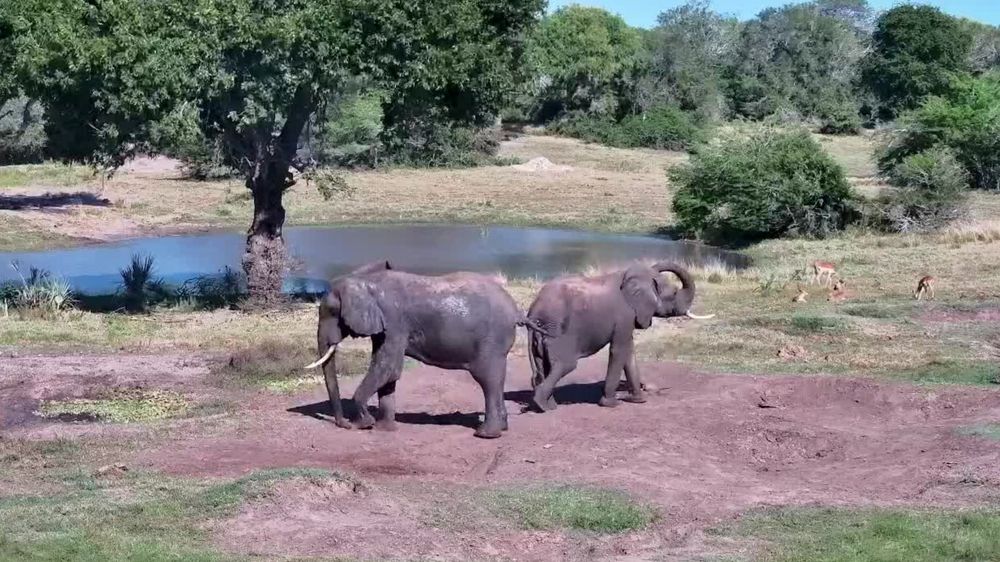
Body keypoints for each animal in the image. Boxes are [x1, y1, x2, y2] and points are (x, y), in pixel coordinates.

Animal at [305, 260, 548, 438]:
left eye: (331, 311)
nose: (343, 424)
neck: (366, 280)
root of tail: (516, 310)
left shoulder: (394, 321)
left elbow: (387, 367)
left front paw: (364, 424)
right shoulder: (386, 327)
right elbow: (389, 373)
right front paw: (385, 429)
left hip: (490, 341)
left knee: (487, 380)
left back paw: (486, 434)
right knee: (495, 380)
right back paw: (501, 429)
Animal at [526, 262, 713, 412]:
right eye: (674, 293)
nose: (649, 387)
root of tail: (532, 312)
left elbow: (629, 351)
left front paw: (637, 400)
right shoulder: (624, 314)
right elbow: (619, 350)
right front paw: (612, 404)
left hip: (541, 337)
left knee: (544, 368)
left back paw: (549, 405)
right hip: (557, 334)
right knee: (566, 365)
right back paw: (543, 406)